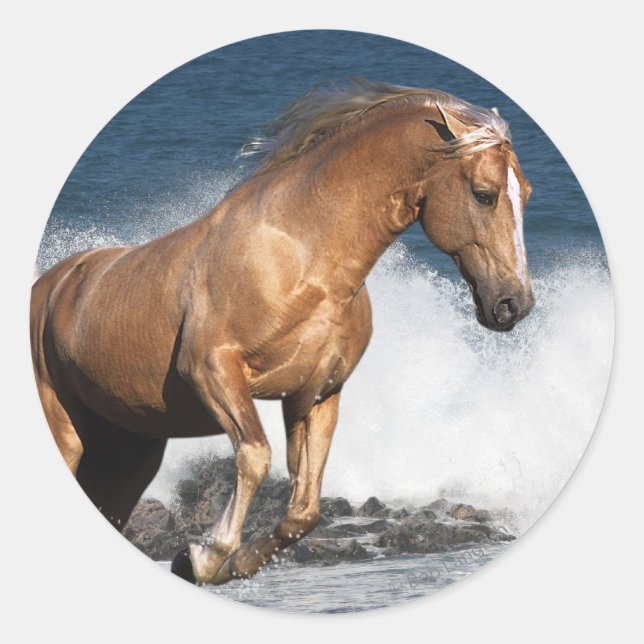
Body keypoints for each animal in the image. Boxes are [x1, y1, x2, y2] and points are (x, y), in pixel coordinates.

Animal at [30, 79, 534, 585]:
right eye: (485, 194)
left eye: (527, 193)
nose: (514, 304)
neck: (302, 260)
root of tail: (50, 286)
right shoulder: (212, 370)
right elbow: (255, 455)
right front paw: (206, 554)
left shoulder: (316, 394)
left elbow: (303, 510)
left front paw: (226, 561)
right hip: (67, 434)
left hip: (130, 453)